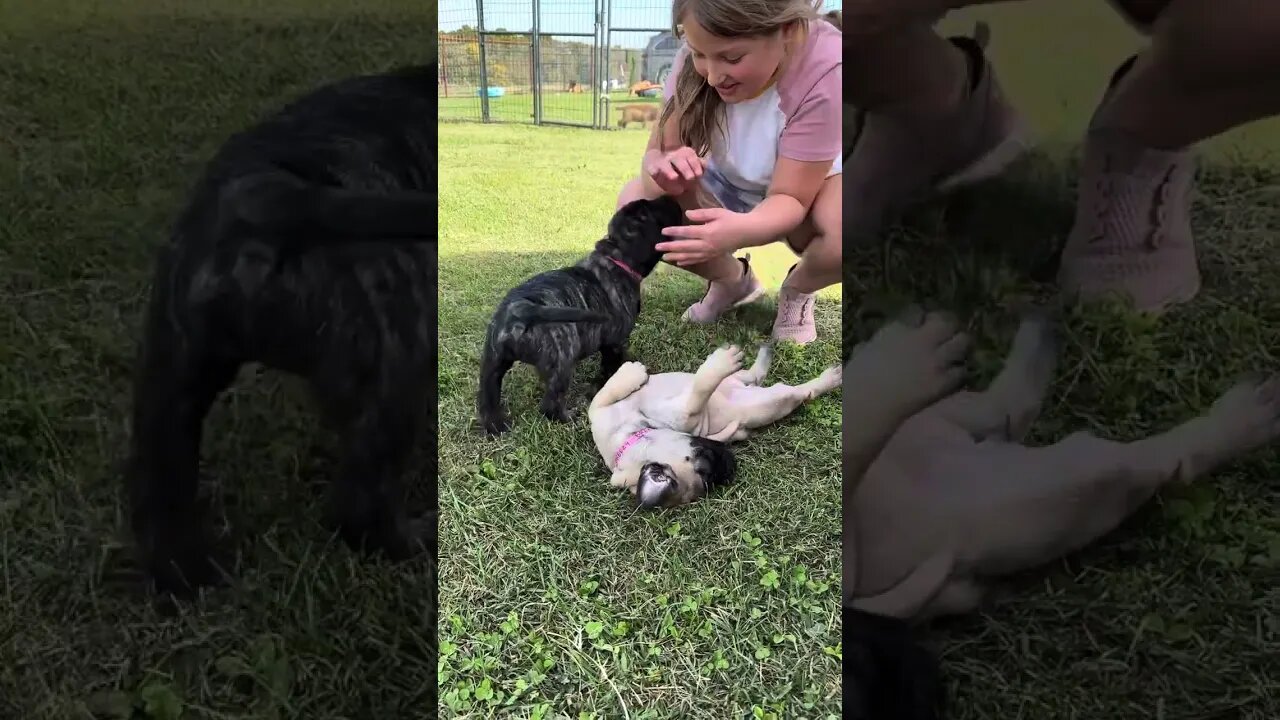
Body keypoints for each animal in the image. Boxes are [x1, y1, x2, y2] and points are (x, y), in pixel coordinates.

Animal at [126, 65, 440, 594]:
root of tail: (260, 187)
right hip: (405, 357)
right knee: (360, 510)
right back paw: (418, 540)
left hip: (169, 384)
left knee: (161, 512)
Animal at [478, 193, 680, 435]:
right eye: (647, 213)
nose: (670, 196)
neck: (616, 258)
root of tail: (520, 308)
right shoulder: (614, 342)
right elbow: (610, 368)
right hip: (563, 357)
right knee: (550, 405)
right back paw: (569, 419)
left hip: (491, 364)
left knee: (487, 400)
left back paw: (496, 426)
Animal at [586, 340, 839, 504]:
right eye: (706, 467)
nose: (730, 463)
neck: (628, 441)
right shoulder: (684, 416)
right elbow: (697, 397)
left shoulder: (603, 411)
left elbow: (603, 394)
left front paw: (629, 374)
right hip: (775, 399)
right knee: (802, 392)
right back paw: (829, 378)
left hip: (738, 380)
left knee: (751, 374)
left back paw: (761, 352)